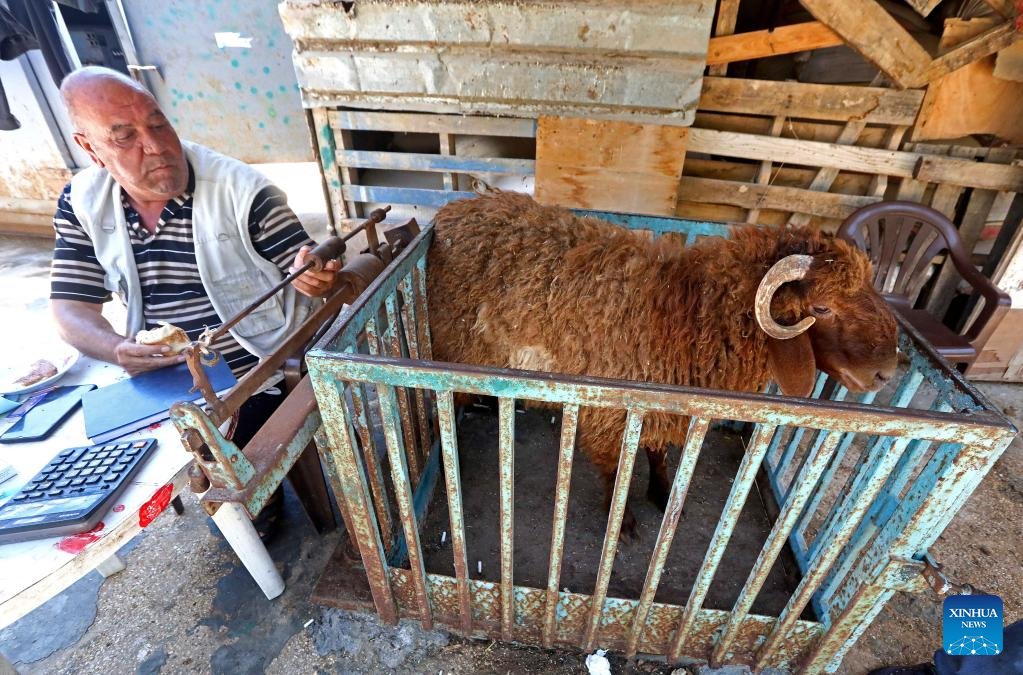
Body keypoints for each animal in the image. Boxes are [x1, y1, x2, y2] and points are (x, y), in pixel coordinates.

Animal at [423, 191, 896, 535]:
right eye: (822, 308)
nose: (886, 372)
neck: (684, 314)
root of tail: (454, 210)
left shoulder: (663, 405)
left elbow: (658, 455)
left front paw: (664, 494)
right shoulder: (610, 409)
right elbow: (615, 469)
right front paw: (623, 523)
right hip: (456, 350)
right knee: (447, 407)